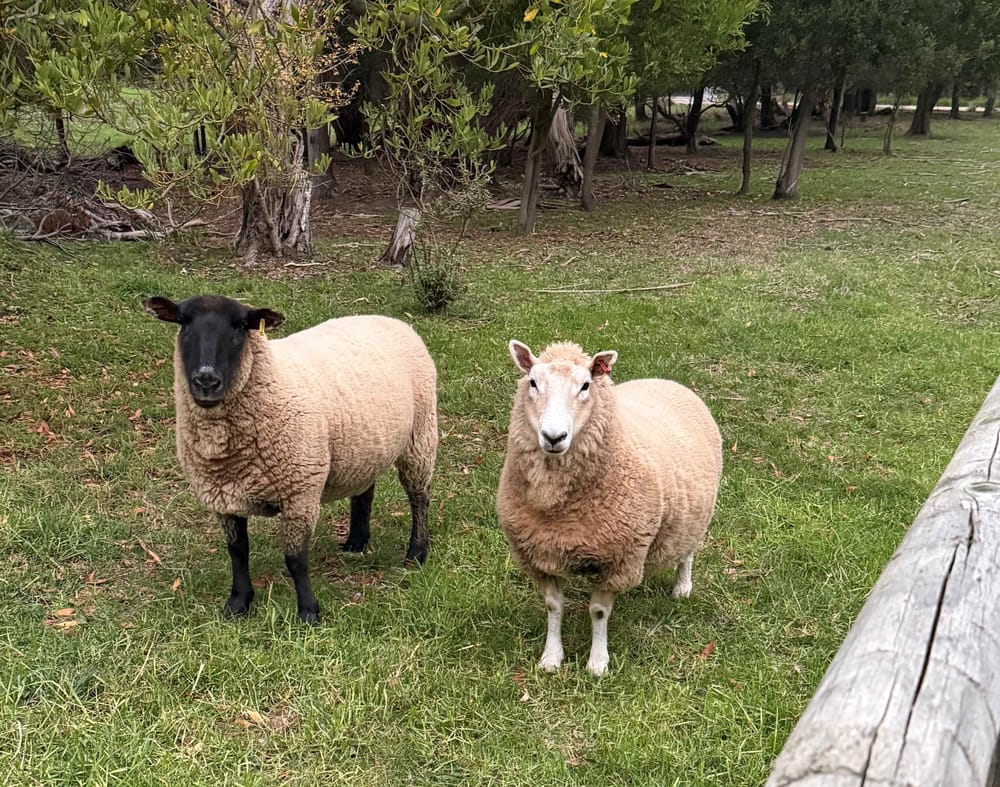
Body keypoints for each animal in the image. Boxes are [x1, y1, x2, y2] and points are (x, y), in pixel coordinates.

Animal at [143, 294, 438, 624]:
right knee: (364, 491)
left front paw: (308, 612)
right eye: (184, 323)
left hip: (420, 435)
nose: (206, 381)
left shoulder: (300, 494)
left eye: (240, 326)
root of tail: (388, 318)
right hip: (363, 446)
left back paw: (416, 553)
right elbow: (237, 551)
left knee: (419, 497)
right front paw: (238, 603)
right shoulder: (223, 497)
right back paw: (356, 542)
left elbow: (296, 559)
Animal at [496, 340, 722, 676]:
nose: (553, 437)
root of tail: (668, 381)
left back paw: (682, 587)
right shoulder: (537, 555)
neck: (558, 508)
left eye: (585, 385)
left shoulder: (620, 558)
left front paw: (597, 662)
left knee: (687, 552)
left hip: (696, 514)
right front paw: (551, 657)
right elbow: (554, 606)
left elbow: (599, 612)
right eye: (533, 383)